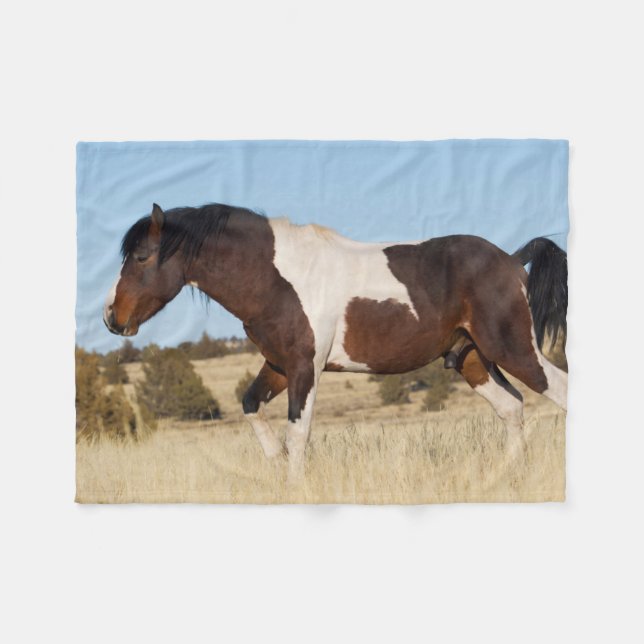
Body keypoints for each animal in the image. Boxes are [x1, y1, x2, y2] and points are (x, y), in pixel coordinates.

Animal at [104, 203, 568, 480]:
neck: (276, 279)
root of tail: (511, 260)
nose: (111, 317)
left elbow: (298, 433)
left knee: (558, 391)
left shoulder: (304, 368)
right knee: (512, 408)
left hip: (515, 349)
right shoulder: (278, 365)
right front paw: (275, 465)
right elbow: (252, 406)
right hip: (472, 359)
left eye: (141, 257)